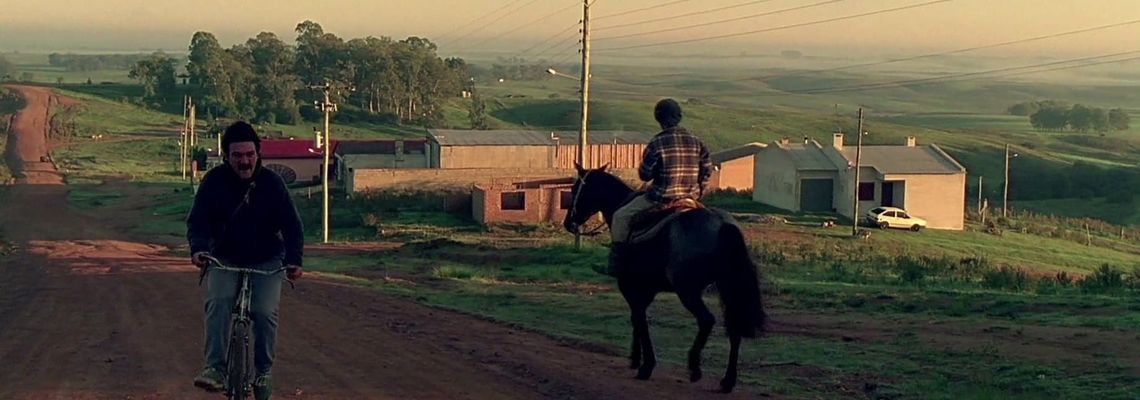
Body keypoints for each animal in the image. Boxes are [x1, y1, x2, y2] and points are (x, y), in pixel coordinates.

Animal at [560, 164, 766, 394]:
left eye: (576, 188)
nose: (568, 223)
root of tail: (722, 225)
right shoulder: (647, 289)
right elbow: (638, 318)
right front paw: (636, 358)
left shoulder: (628, 286)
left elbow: (640, 320)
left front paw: (645, 365)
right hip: (728, 287)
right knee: (734, 327)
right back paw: (727, 381)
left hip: (688, 290)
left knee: (706, 320)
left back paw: (694, 367)